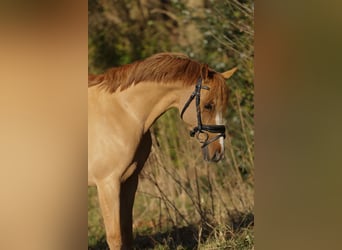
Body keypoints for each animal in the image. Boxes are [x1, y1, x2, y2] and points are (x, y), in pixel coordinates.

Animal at [88, 52, 236, 248]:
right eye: (208, 105)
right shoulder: (108, 184)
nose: (218, 151)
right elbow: (116, 238)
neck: (123, 113)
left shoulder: (129, 180)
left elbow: (127, 232)